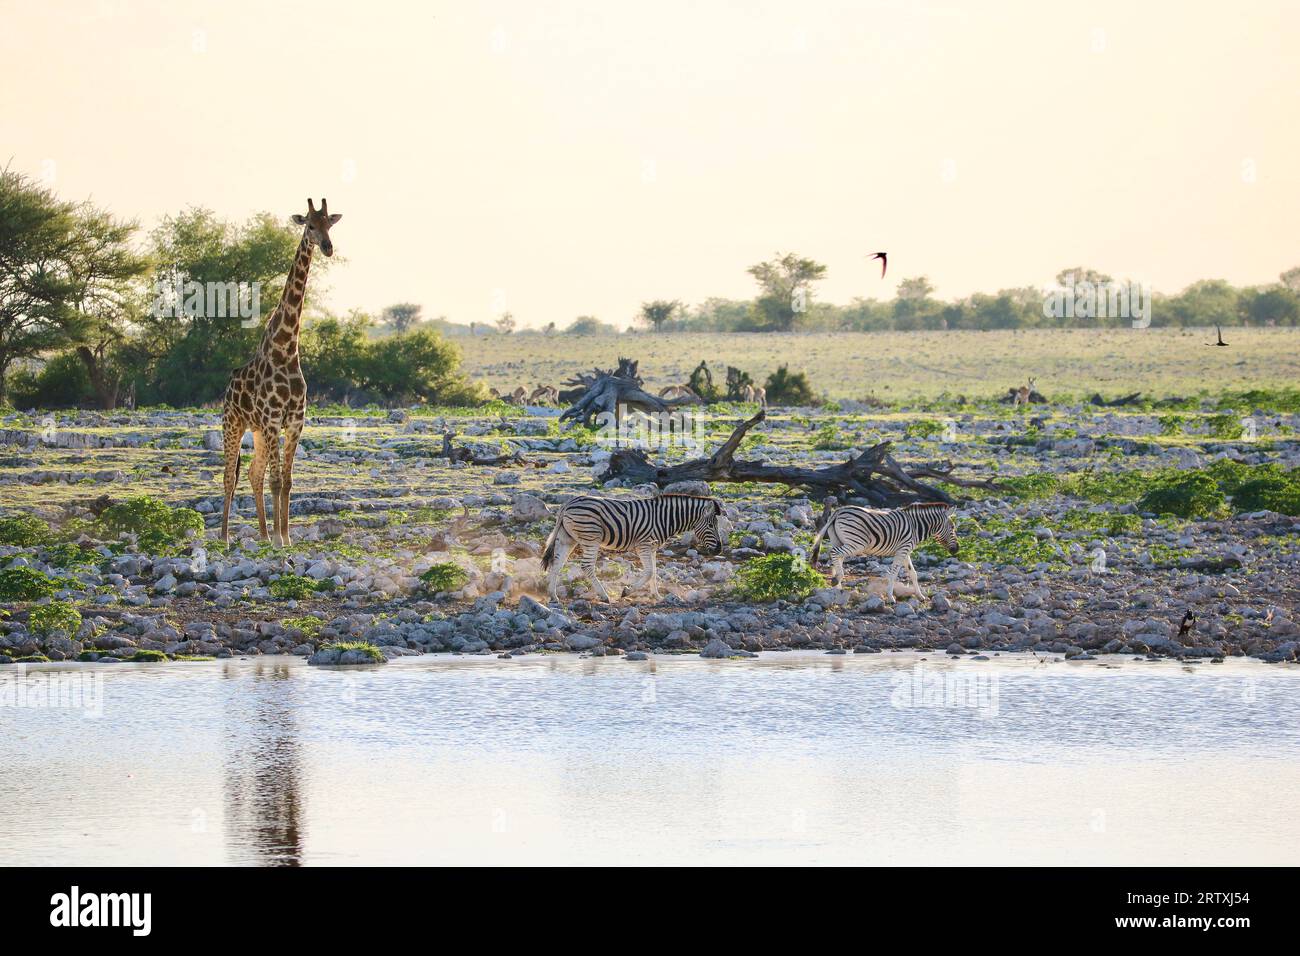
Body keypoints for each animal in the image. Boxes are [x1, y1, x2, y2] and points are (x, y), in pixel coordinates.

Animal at [221, 198, 341, 546]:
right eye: (310, 225)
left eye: (330, 224)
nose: (327, 247)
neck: (286, 348)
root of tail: (226, 389)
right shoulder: (275, 420)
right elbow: (276, 480)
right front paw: (278, 539)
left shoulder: (295, 422)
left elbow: (286, 481)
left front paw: (285, 537)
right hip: (233, 424)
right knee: (229, 477)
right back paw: (225, 537)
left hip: (259, 431)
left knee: (253, 473)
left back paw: (261, 534)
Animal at [542, 493, 724, 601]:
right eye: (711, 526)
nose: (719, 550)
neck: (665, 518)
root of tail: (568, 503)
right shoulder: (643, 545)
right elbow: (649, 572)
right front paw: (627, 591)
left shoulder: (653, 547)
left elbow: (654, 572)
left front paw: (657, 596)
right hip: (591, 537)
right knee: (586, 566)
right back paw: (604, 596)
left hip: (568, 538)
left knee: (557, 564)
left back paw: (553, 595)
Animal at [809, 501, 959, 600]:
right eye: (952, 528)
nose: (956, 549)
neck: (915, 526)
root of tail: (838, 511)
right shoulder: (902, 550)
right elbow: (893, 573)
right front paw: (890, 597)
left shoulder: (905, 551)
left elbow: (913, 573)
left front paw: (920, 596)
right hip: (857, 543)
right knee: (834, 553)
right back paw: (837, 579)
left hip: (839, 540)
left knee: (837, 556)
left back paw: (837, 586)